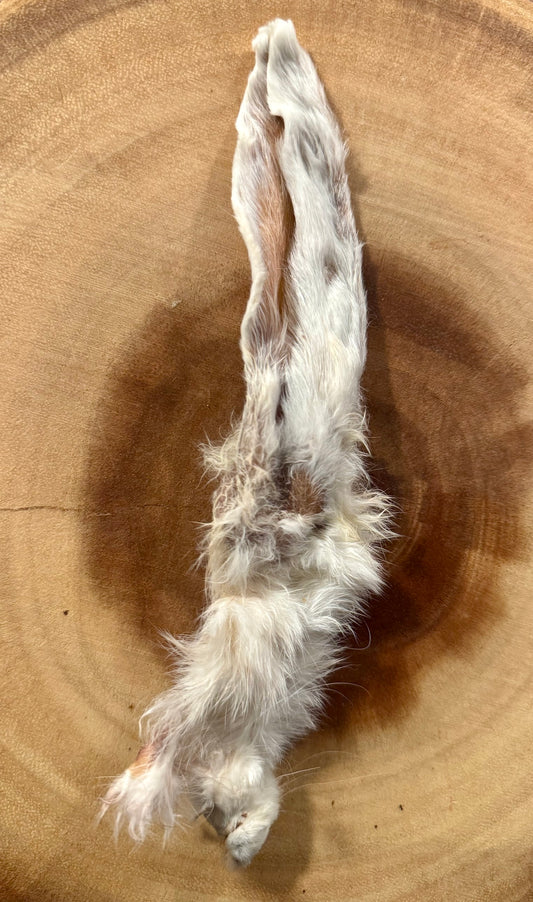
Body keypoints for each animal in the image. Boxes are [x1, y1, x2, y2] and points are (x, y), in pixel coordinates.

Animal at [100, 18, 392, 868]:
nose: (224, 841)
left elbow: (175, 753)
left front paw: (233, 828)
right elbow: (180, 756)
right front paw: (235, 828)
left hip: (289, 398)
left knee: (277, 286)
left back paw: (275, 56)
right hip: (287, 412)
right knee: (280, 287)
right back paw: (278, 57)